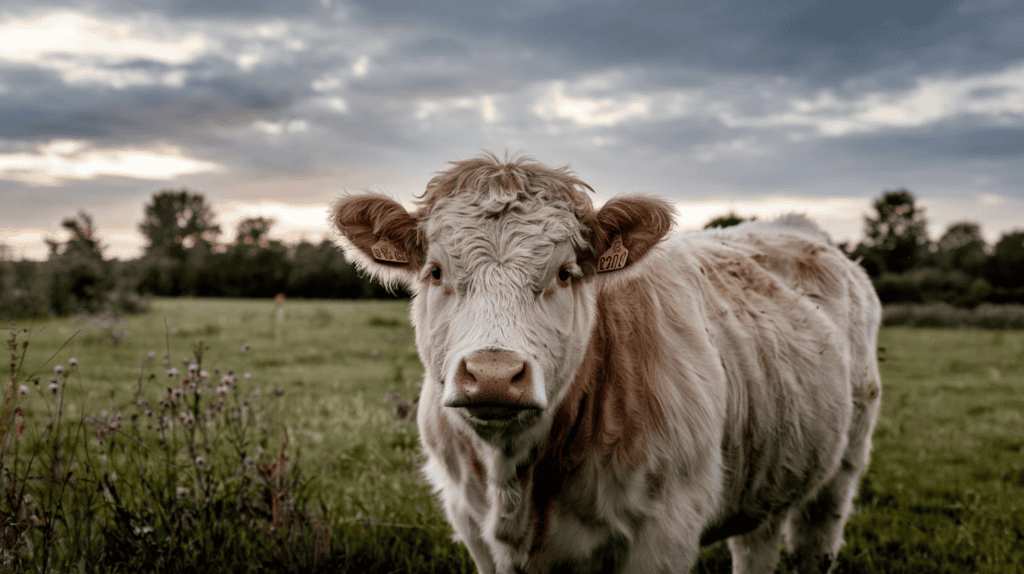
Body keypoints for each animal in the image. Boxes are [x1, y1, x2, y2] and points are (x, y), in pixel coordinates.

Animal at [332, 153, 882, 574]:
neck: (517, 484)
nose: (493, 375)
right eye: (436, 271)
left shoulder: (665, 533)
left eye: (565, 272)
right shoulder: (473, 527)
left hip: (841, 471)